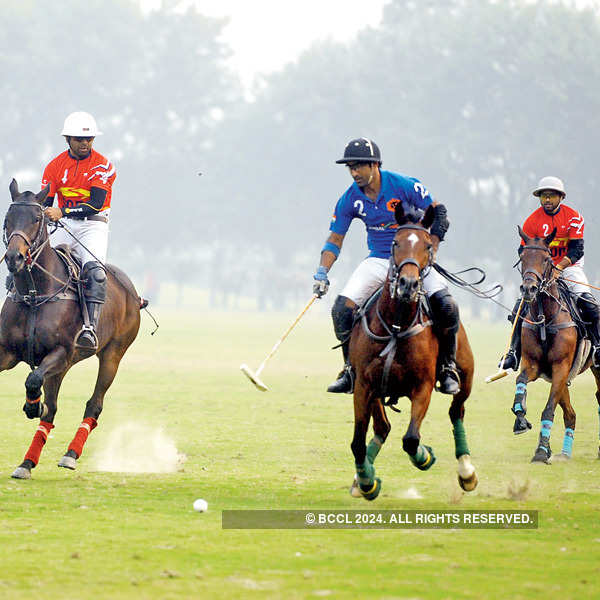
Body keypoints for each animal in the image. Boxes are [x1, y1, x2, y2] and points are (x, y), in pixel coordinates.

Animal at [2, 180, 142, 480]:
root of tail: (132, 292)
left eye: (37, 218)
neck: (34, 293)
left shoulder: (61, 352)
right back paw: (26, 463)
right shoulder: (6, 352)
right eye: (7, 218)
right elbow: (41, 395)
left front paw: (32, 405)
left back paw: (69, 454)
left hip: (112, 355)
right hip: (63, 367)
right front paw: (34, 405)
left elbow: (32, 380)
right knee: (53, 410)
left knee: (94, 403)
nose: (14, 258)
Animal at [350, 204, 476, 500]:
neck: (397, 324)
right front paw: (367, 482)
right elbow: (357, 443)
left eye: (428, 246)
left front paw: (425, 455)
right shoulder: (363, 385)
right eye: (395, 242)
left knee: (456, 412)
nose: (408, 284)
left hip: (466, 378)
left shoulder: (423, 386)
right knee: (382, 427)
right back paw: (362, 479)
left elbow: (410, 439)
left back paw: (467, 471)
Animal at [510, 226, 600, 464]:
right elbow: (520, 381)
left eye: (546, 258)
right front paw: (520, 419)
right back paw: (564, 453)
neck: (546, 316)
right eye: (522, 256)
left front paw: (541, 452)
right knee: (571, 413)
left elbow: (548, 409)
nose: (529, 289)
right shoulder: (535, 366)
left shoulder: (561, 366)